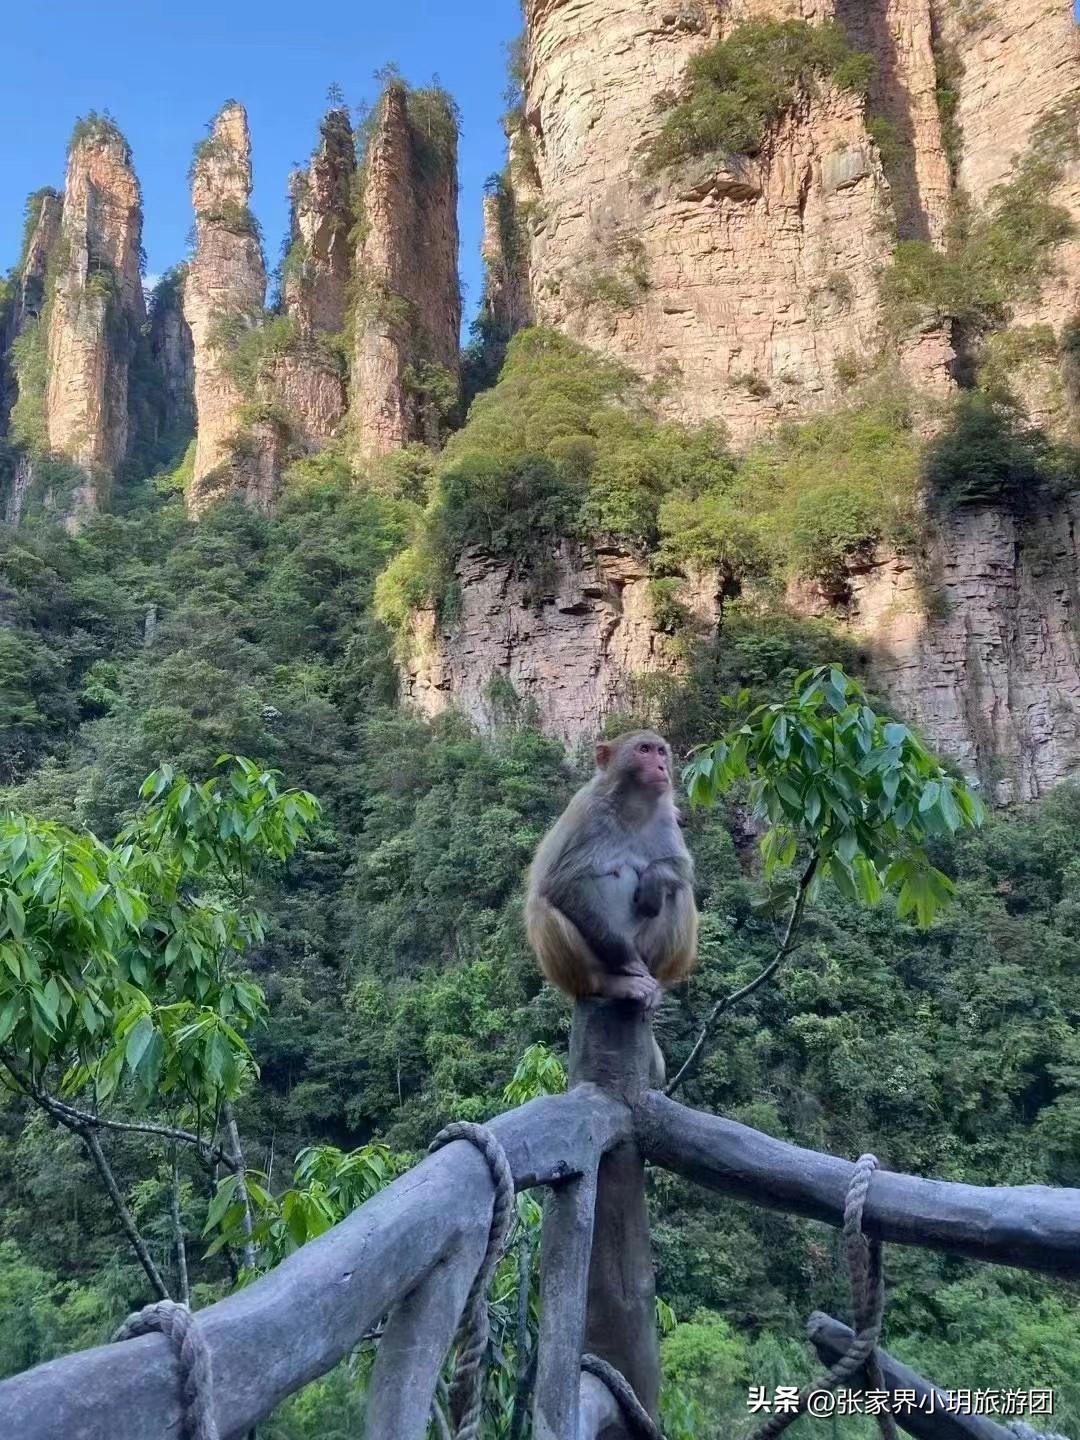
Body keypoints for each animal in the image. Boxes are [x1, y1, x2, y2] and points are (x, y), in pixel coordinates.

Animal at [527, 737, 696, 1008]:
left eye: (661, 751)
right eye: (644, 750)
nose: (662, 766)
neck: (632, 807)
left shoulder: (666, 816)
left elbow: (683, 865)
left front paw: (654, 878)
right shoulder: (587, 809)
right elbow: (561, 881)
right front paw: (626, 958)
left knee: (679, 889)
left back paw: (656, 984)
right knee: (541, 905)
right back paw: (611, 984)